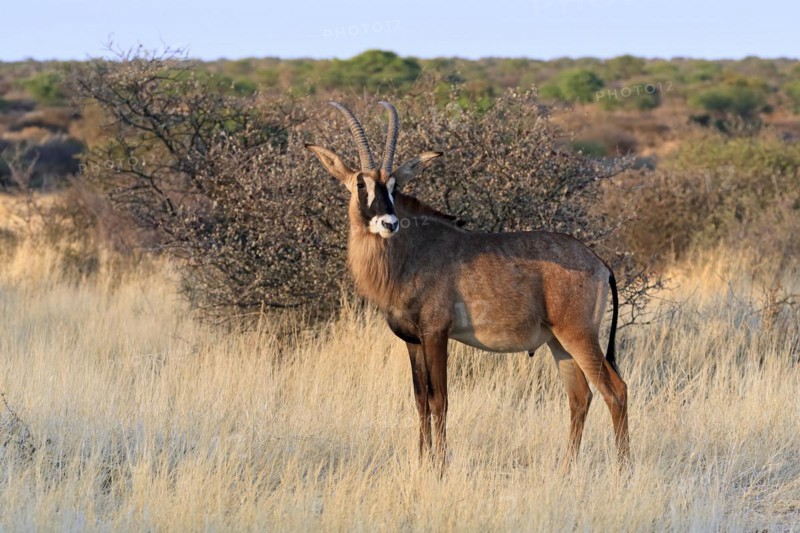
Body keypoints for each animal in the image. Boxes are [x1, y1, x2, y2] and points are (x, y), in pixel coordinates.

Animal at [306, 101, 629, 471]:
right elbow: (419, 399)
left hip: (579, 335)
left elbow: (439, 399)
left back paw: (623, 468)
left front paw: (439, 466)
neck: (411, 252)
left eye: (395, 187)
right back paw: (566, 467)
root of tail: (600, 263)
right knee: (580, 396)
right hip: (558, 343)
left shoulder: (436, 334)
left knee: (615, 391)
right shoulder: (412, 341)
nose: (389, 223)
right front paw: (423, 459)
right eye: (361, 184)